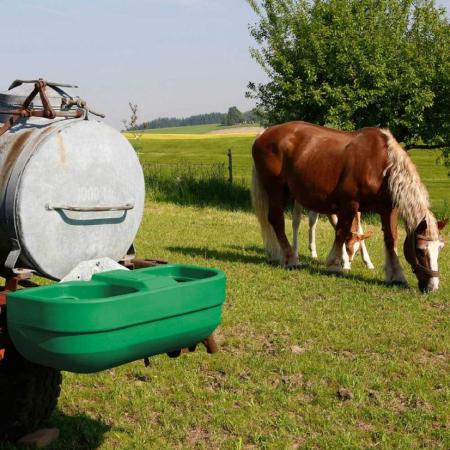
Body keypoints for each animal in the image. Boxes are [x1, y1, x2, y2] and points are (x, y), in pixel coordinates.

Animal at [253, 121, 446, 294]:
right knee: (277, 220)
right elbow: (341, 232)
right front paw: (335, 264)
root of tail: (263, 133)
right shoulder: (349, 204)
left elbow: (391, 240)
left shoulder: (388, 209)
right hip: (276, 189)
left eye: (440, 248)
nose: (433, 287)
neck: (381, 165)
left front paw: (397, 275)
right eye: (420, 250)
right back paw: (291, 259)